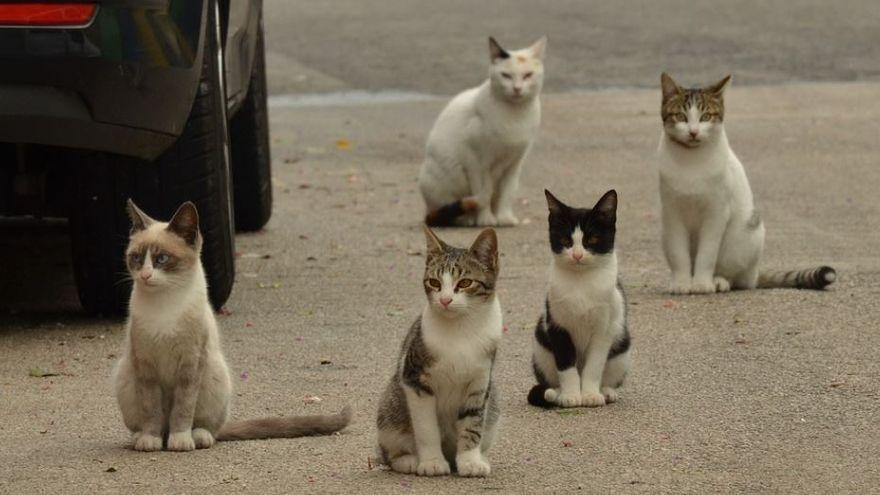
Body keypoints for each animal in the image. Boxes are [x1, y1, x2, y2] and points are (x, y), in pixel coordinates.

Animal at [113, 200, 350, 452]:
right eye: (137, 258)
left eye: (162, 259)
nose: (146, 275)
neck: (164, 305)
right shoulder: (145, 365)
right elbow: (151, 409)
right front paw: (150, 439)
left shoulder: (190, 364)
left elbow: (183, 409)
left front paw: (180, 441)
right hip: (125, 376)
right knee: (153, 423)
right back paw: (144, 437)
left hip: (214, 374)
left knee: (209, 428)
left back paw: (197, 437)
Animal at [376, 227, 502, 478]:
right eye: (434, 282)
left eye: (465, 282)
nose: (444, 300)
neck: (462, 329)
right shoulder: (415, 380)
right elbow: (427, 428)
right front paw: (432, 462)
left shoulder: (480, 383)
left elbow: (472, 424)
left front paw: (470, 461)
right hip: (389, 410)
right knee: (389, 452)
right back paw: (408, 460)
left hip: (492, 405)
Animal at [418, 35, 548, 228]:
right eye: (506, 75)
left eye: (528, 75)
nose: (517, 88)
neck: (515, 115)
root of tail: (427, 211)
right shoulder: (476, 162)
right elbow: (483, 193)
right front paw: (486, 219)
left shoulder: (515, 163)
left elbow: (506, 193)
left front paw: (504, 217)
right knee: (448, 211)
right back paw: (467, 219)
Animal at [524, 189, 628, 406]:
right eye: (565, 241)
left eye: (592, 240)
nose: (577, 255)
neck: (581, 282)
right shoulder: (557, 325)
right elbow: (566, 365)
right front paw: (571, 395)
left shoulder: (604, 329)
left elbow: (594, 366)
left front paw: (589, 394)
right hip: (541, 347)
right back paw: (555, 393)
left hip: (621, 348)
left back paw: (606, 391)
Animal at [656, 73, 836, 294]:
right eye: (681, 116)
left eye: (705, 117)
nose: (693, 132)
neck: (691, 161)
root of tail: (756, 273)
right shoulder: (672, 213)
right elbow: (678, 254)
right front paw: (682, 283)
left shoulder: (716, 212)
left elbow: (707, 253)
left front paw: (701, 284)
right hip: (665, 232)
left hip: (744, 237)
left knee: (739, 278)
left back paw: (719, 280)